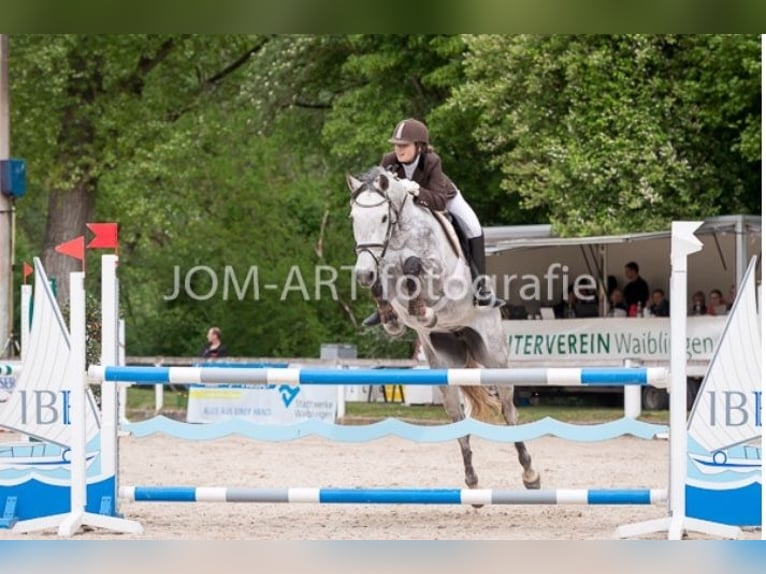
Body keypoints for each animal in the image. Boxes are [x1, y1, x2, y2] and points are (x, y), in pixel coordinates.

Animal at [348, 165, 540, 490]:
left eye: (384, 218)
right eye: (353, 218)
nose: (362, 273)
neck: (400, 233)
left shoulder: (439, 274)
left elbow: (414, 266)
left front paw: (423, 312)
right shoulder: (383, 266)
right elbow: (386, 280)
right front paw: (389, 317)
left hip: (494, 355)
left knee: (508, 408)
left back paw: (530, 473)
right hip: (443, 362)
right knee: (456, 415)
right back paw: (471, 478)